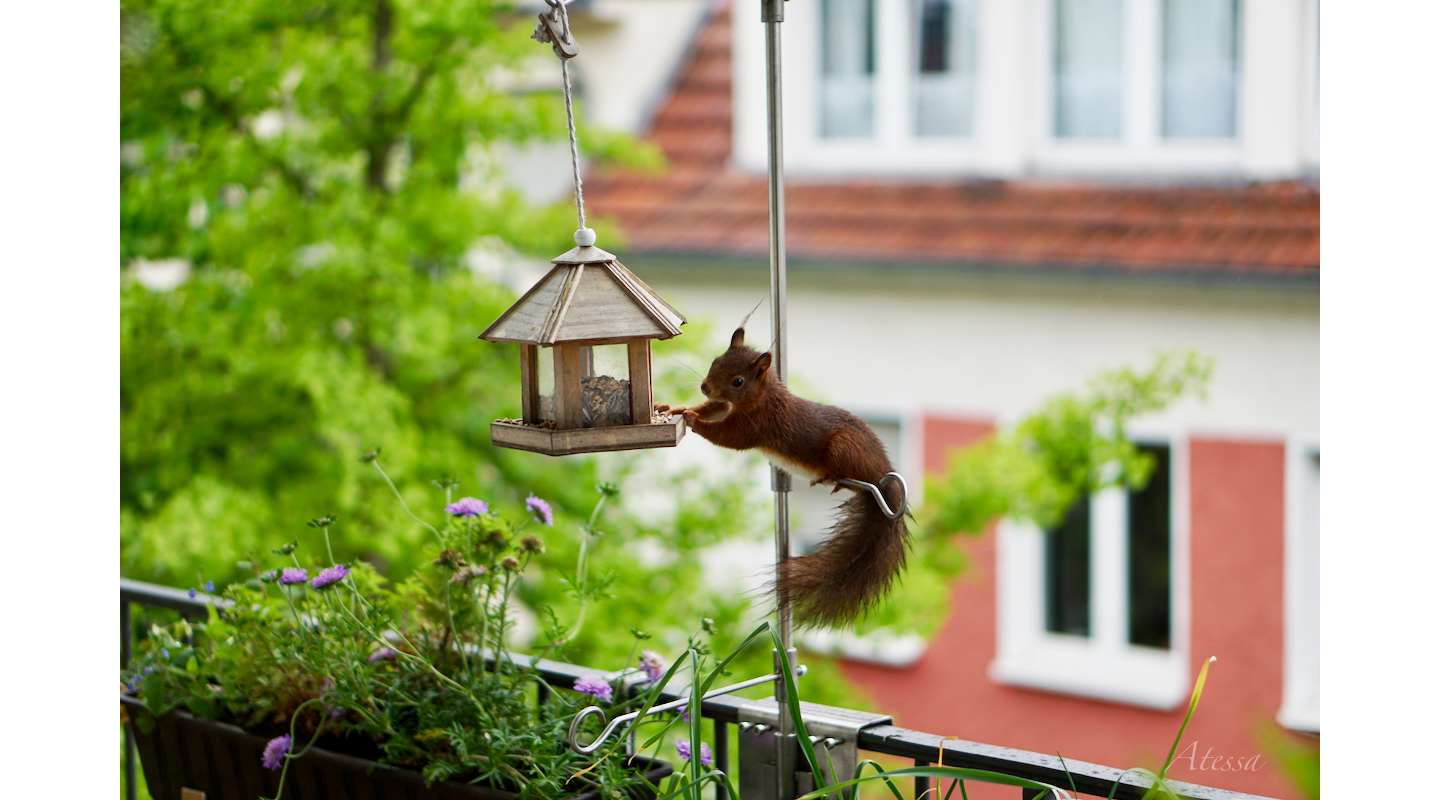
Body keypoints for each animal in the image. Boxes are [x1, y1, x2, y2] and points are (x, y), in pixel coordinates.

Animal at [660, 327, 909, 629]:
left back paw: (832, 479)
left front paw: (694, 420)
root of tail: (882, 474)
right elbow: (714, 406)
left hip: (844, 449)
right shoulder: (727, 406)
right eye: (715, 362)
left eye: (738, 381)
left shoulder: (756, 424)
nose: (705, 387)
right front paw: (676, 410)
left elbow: (727, 436)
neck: (763, 396)